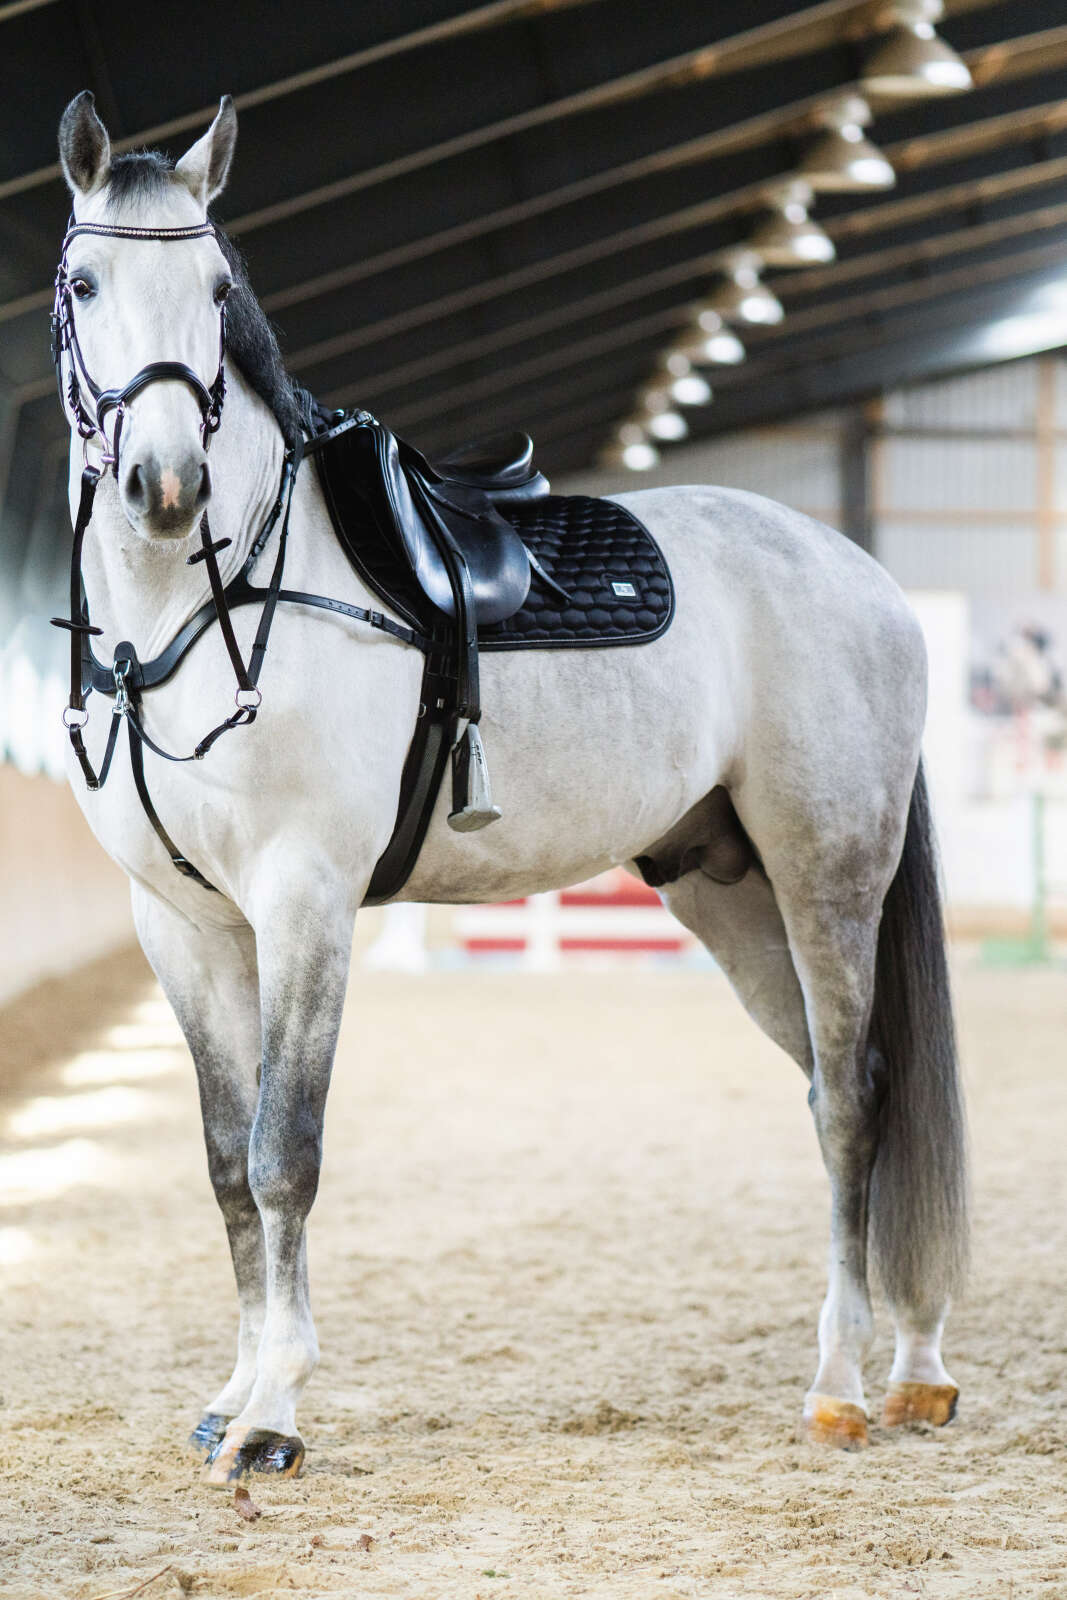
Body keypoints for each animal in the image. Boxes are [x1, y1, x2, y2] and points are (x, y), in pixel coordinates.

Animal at [50, 90, 968, 1483]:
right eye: (83, 282)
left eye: (215, 291)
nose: (166, 488)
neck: (215, 603)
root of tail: (860, 572)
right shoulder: (186, 925)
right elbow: (220, 1160)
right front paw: (232, 1390)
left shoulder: (304, 902)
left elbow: (283, 1154)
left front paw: (272, 1414)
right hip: (728, 894)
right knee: (843, 1083)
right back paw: (912, 1366)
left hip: (827, 875)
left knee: (858, 1099)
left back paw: (839, 1385)